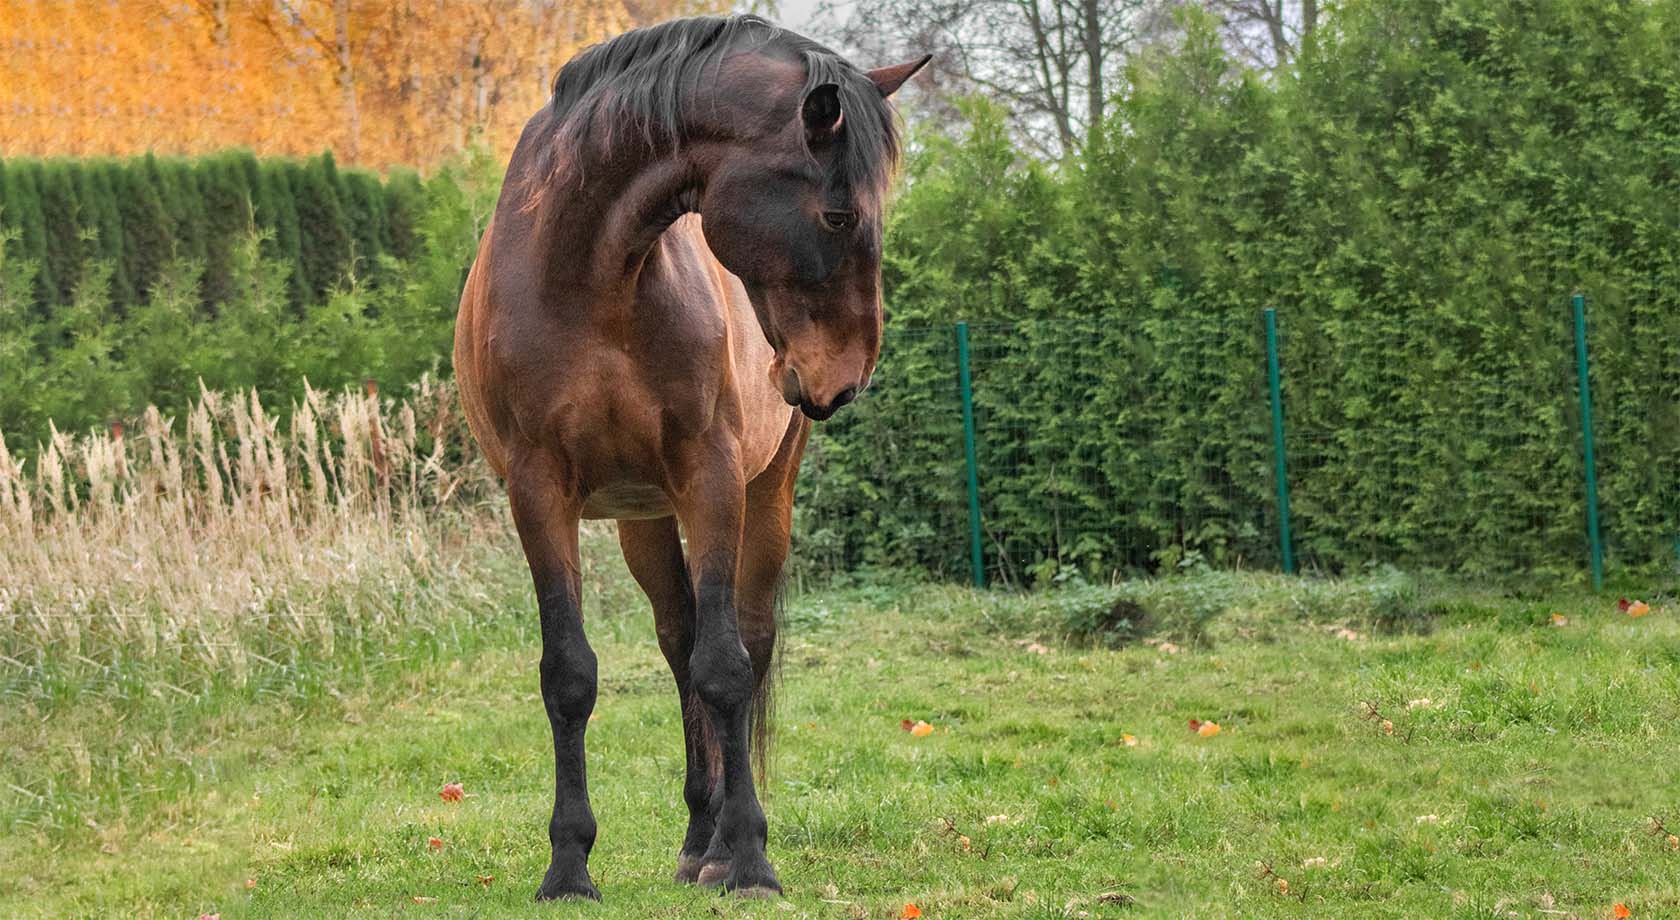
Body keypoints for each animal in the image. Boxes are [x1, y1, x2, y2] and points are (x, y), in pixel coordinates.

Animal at [453, 14, 927, 899]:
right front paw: (569, 864)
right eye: (838, 216)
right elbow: (570, 674)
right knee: (677, 643)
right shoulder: (539, 490)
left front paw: (748, 857)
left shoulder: (711, 478)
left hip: (764, 495)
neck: (591, 273)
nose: (847, 378)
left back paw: (716, 844)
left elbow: (727, 668)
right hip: (641, 518)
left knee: (746, 638)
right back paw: (696, 833)